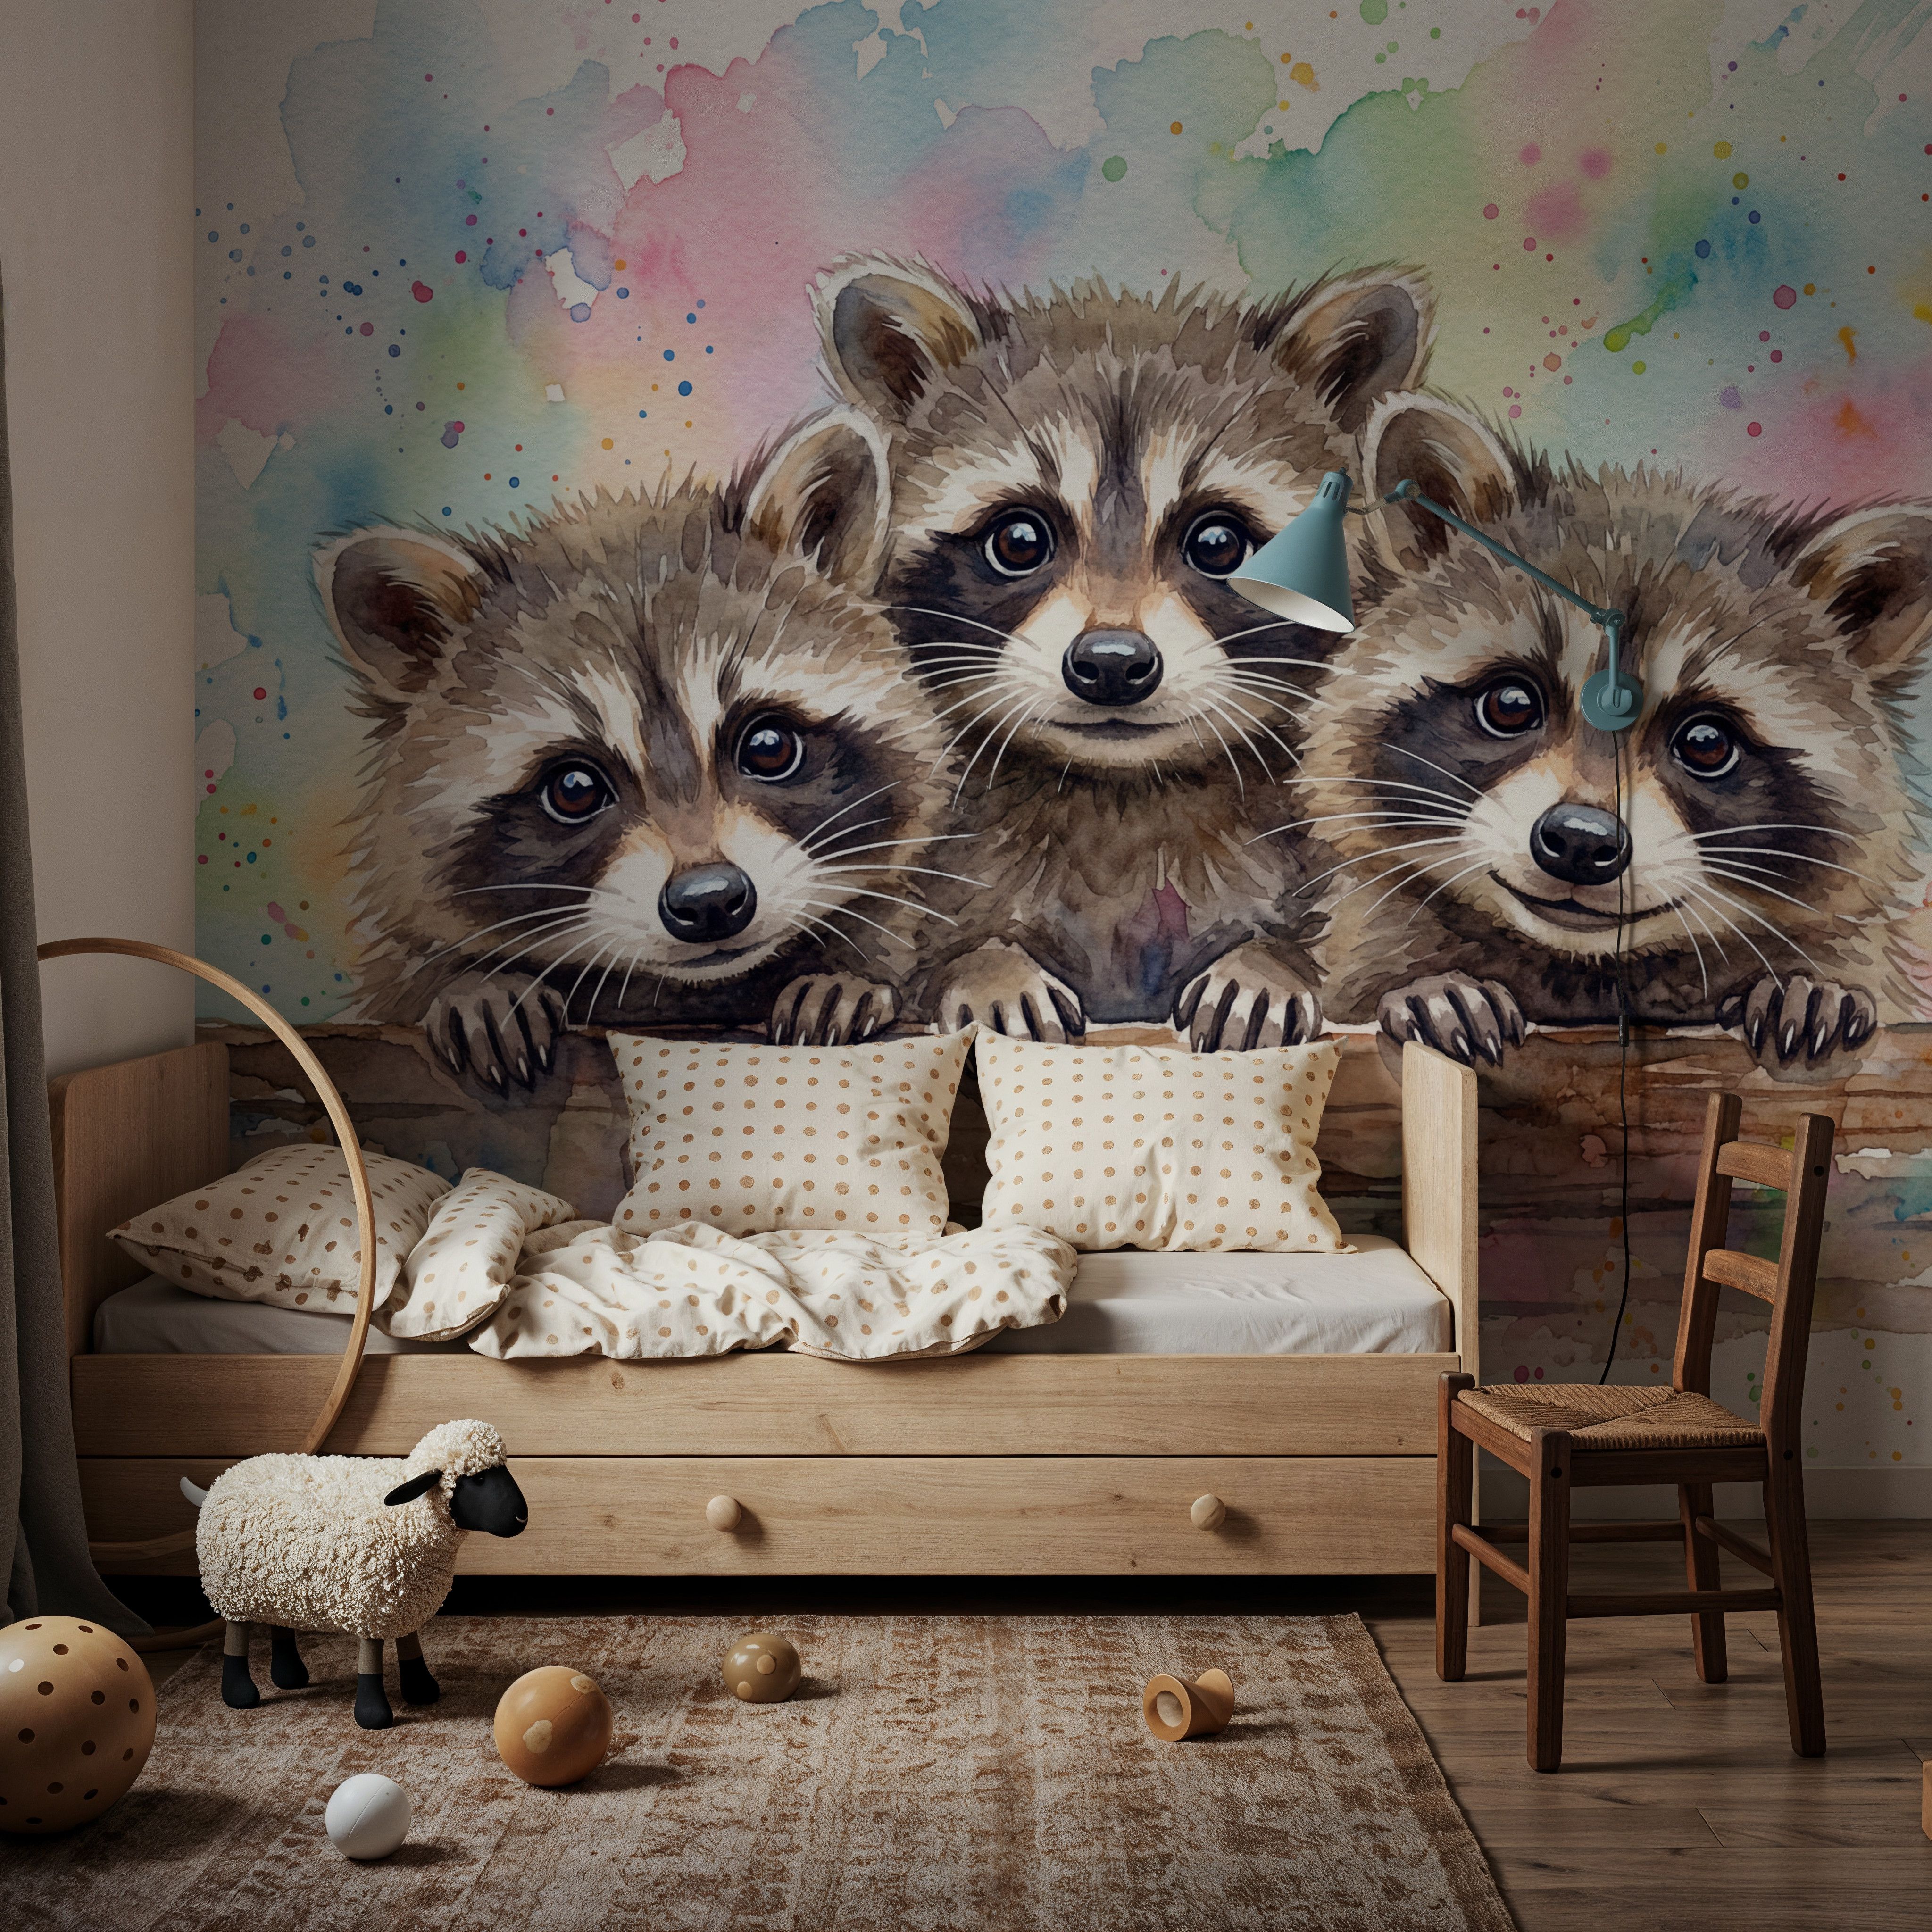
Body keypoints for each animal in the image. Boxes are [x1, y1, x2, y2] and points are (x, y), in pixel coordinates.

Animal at [811, 254, 1437, 1048]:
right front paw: (985, 964)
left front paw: (1269, 960)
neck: (1125, 790)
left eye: (1219, 543)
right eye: (1019, 540)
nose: (1112, 664)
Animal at [1296, 392, 1932, 1070]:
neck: (1588, 964)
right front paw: (1432, 987)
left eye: (1706, 744)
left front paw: (1808, 988)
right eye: (1511, 704)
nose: (1579, 840)